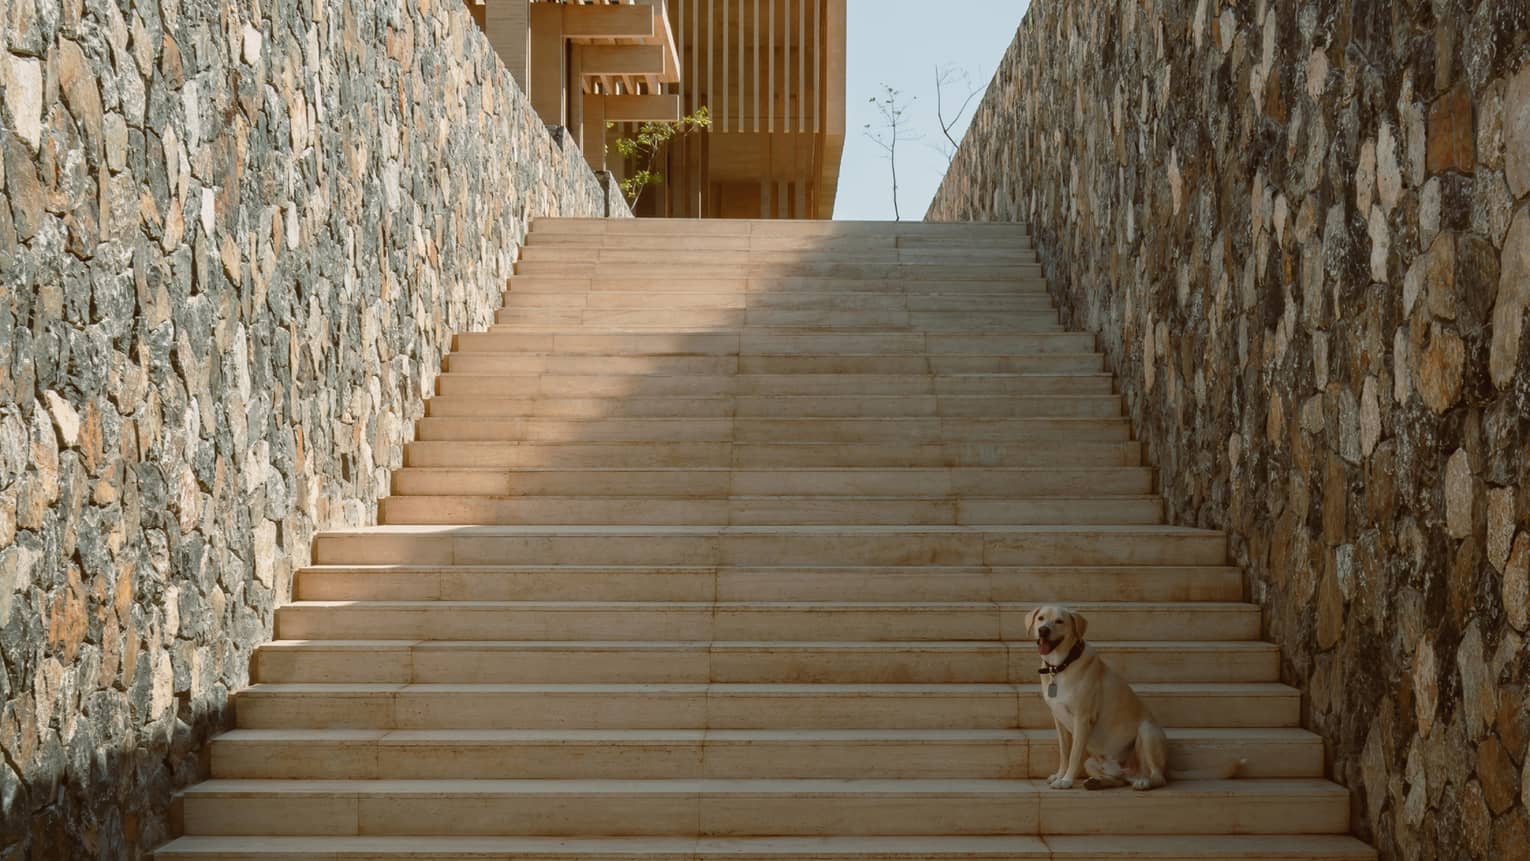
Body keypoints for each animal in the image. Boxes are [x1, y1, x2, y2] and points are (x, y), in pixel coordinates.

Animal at [1028, 602, 1168, 789]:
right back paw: (1097, 782)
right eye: (1040, 618)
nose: (1043, 630)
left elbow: (1074, 754)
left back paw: (1143, 782)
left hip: (1147, 732)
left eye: (1059, 621)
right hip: (1093, 764)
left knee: (1157, 776)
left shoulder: (1082, 719)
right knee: (1120, 780)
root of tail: (1131, 772)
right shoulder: (1059, 721)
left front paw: (1066, 780)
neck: (1060, 666)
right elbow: (1064, 753)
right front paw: (1059, 775)